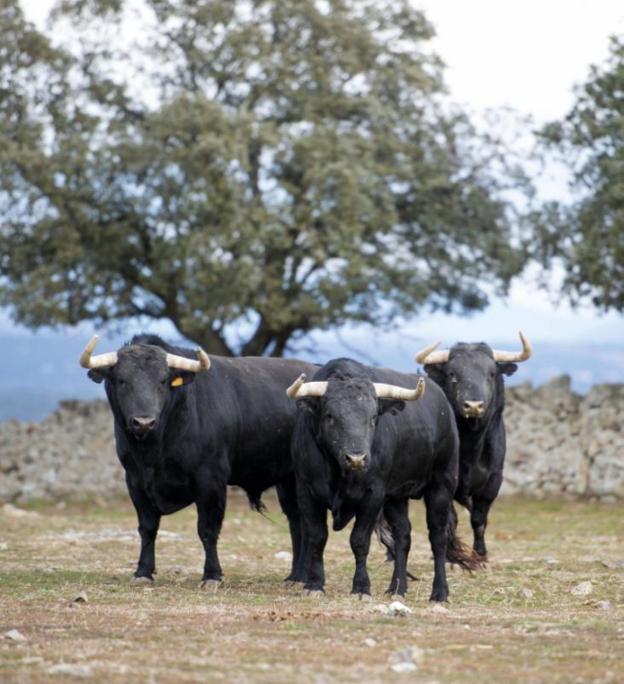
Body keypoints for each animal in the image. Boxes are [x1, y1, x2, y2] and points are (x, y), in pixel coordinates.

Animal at [83, 334, 314, 584]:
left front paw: (212, 575)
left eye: (162, 381)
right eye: (122, 380)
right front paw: (143, 572)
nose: (144, 422)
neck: (154, 453)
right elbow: (147, 528)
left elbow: (207, 529)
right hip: (287, 480)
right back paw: (295, 576)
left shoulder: (210, 479)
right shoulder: (135, 481)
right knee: (296, 521)